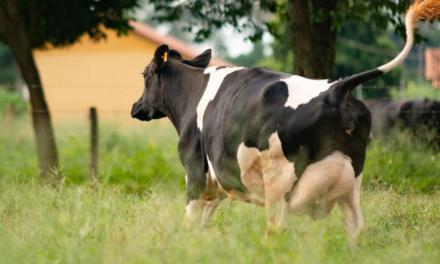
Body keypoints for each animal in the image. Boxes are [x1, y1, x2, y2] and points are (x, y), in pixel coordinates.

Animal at [130, 1, 436, 242]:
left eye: (145, 74)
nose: (135, 107)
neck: (192, 92)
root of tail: (336, 88)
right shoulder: (216, 182)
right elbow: (204, 219)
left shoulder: (194, 170)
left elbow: (191, 218)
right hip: (351, 181)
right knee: (355, 226)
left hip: (279, 177)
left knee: (275, 228)